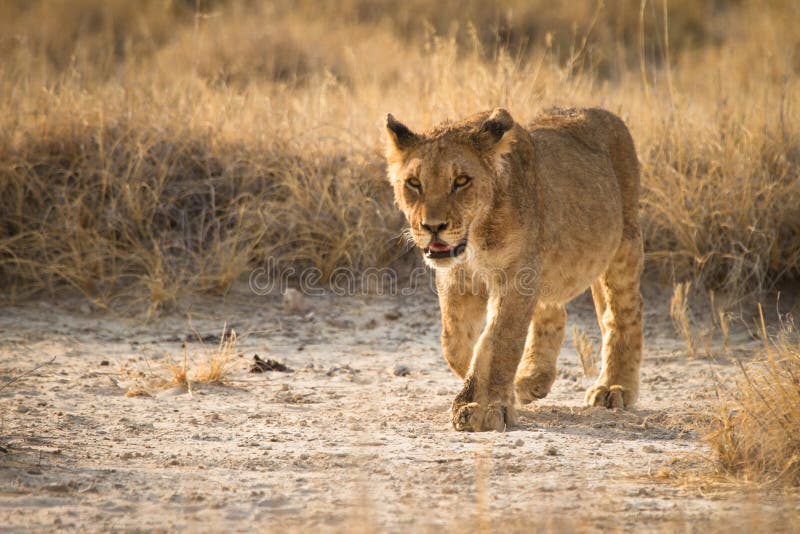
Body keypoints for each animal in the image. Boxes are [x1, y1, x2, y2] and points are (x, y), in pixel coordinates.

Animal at [382, 107, 644, 434]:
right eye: (414, 183)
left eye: (461, 181)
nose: (433, 227)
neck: (475, 238)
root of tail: (609, 115)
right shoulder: (457, 278)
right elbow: (454, 342)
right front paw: (501, 388)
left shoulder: (516, 276)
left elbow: (498, 339)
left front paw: (482, 406)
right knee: (553, 312)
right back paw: (531, 380)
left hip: (623, 246)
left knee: (623, 315)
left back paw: (614, 387)